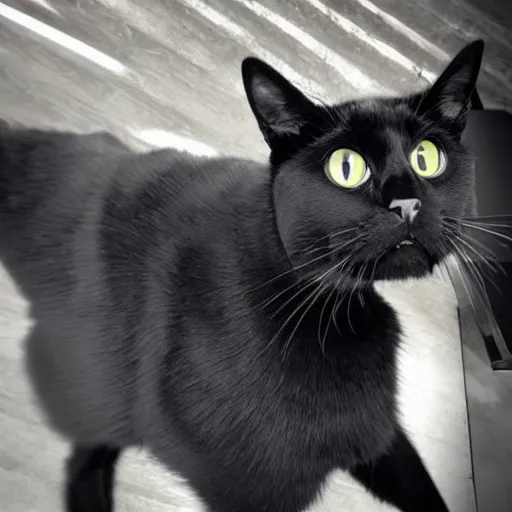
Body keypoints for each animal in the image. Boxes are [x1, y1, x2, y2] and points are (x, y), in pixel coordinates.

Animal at [0, 40, 482, 512]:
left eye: (427, 158)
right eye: (346, 167)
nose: (407, 204)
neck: (332, 310)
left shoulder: (377, 433)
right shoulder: (253, 487)